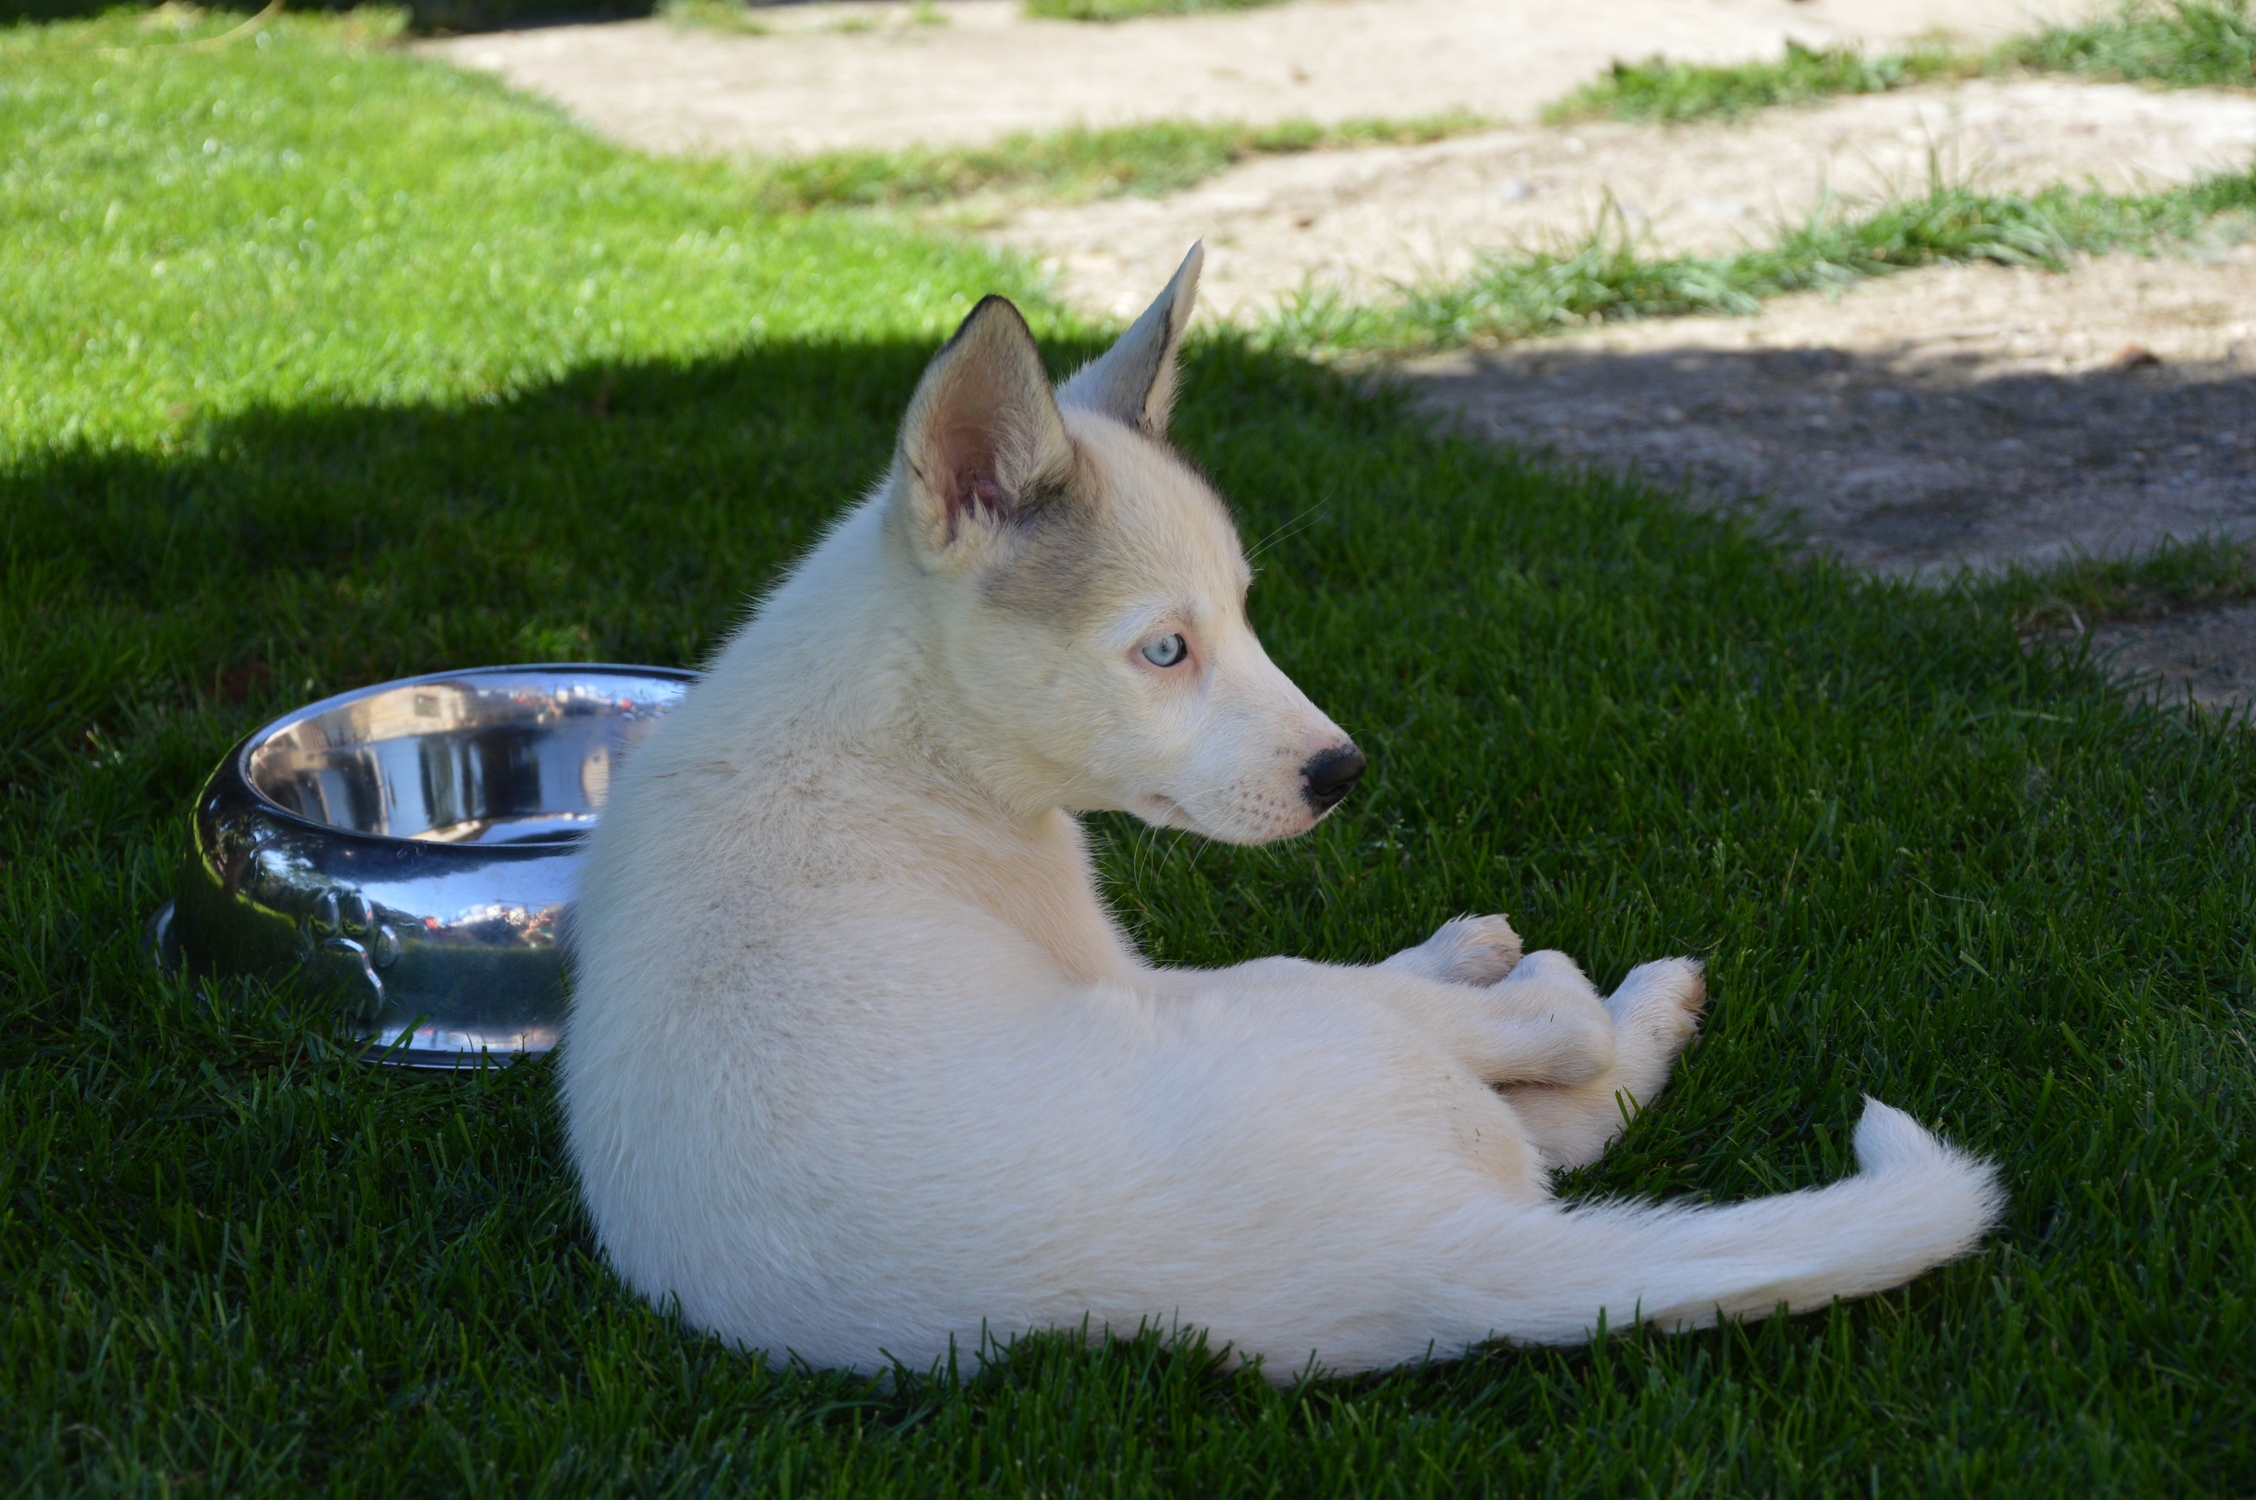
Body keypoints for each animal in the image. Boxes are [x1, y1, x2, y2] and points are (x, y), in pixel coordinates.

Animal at [561, 245, 2003, 1379]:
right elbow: (1536, 1038)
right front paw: (1500, 963)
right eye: (1164, 650)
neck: (899, 719)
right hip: (1274, 1003)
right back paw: (1609, 988)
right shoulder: (1109, 958)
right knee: (1567, 1057)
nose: (1343, 773)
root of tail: (1425, 1264)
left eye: (1247, 615)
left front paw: (1453, 942)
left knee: (1560, 1126)